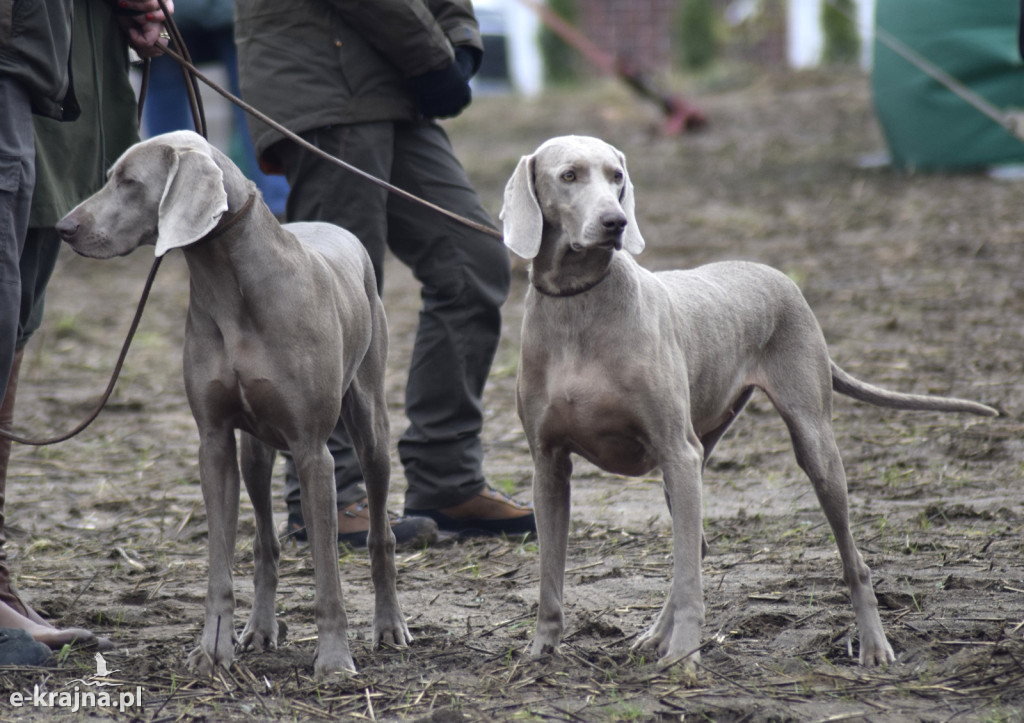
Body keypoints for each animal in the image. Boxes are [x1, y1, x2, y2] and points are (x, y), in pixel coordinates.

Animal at [58, 129, 409, 675]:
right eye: (110, 177)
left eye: (130, 182)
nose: (64, 228)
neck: (233, 287)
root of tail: (337, 229)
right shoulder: (216, 442)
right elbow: (221, 564)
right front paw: (212, 650)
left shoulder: (313, 452)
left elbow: (327, 571)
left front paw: (333, 660)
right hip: (255, 452)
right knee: (265, 541)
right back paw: (260, 629)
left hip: (370, 423)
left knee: (380, 533)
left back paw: (389, 625)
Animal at [499, 134, 995, 671]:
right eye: (569, 175)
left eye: (617, 177)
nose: (616, 222)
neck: (576, 303)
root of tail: (780, 276)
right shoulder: (549, 465)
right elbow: (550, 576)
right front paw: (539, 653)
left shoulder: (676, 451)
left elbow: (689, 580)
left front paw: (684, 659)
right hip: (693, 458)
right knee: (694, 548)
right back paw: (655, 634)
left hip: (808, 445)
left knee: (849, 560)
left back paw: (874, 646)